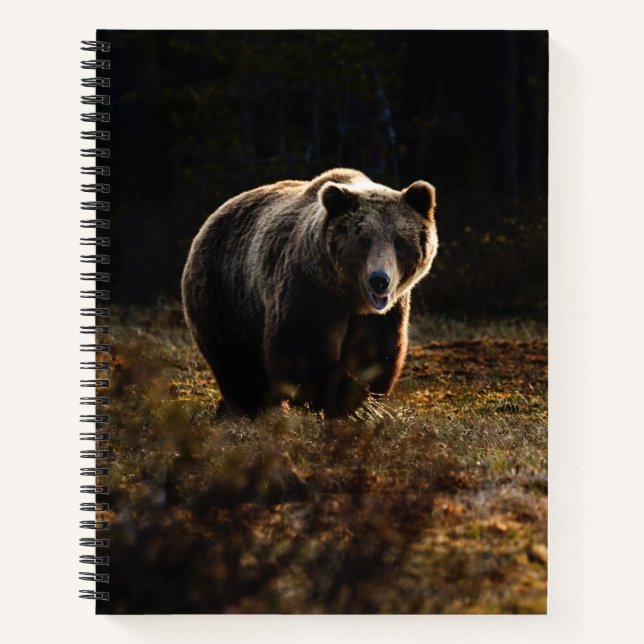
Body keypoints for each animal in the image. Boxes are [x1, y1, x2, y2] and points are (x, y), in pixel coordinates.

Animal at [181, 168, 438, 418]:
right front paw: (355, 403)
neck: (349, 296)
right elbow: (300, 347)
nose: (379, 281)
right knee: (236, 362)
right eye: (364, 240)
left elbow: (375, 350)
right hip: (225, 296)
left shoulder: (385, 312)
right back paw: (251, 408)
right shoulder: (309, 286)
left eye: (399, 242)